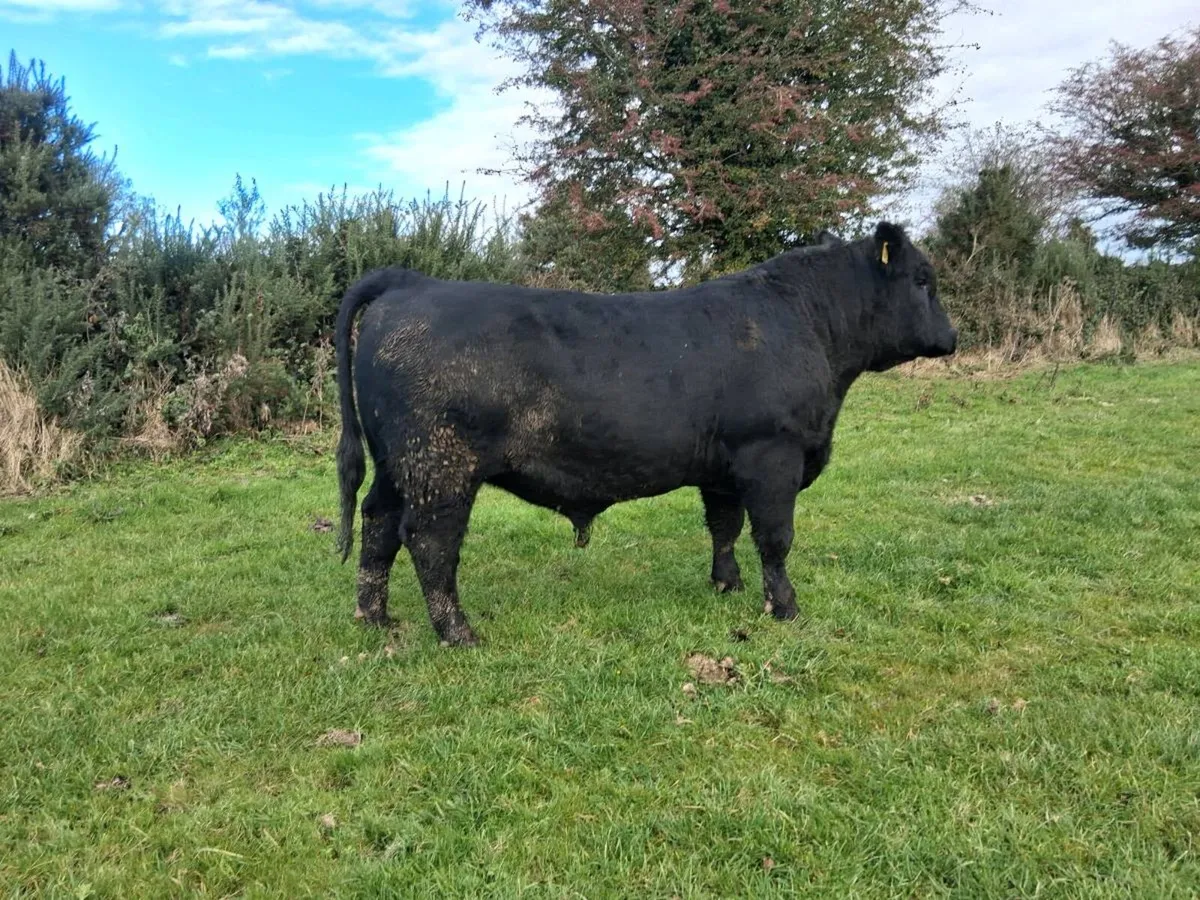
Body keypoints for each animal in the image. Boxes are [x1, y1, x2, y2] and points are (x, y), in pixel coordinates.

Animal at [334, 221, 957, 647]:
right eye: (923, 279)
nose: (952, 338)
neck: (806, 324)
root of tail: (411, 282)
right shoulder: (772, 456)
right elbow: (775, 539)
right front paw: (784, 607)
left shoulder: (724, 468)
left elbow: (724, 528)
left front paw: (726, 585)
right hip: (440, 465)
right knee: (430, 541)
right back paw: (458, 633)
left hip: (396, 463)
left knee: (378, 523)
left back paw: (375, 617)